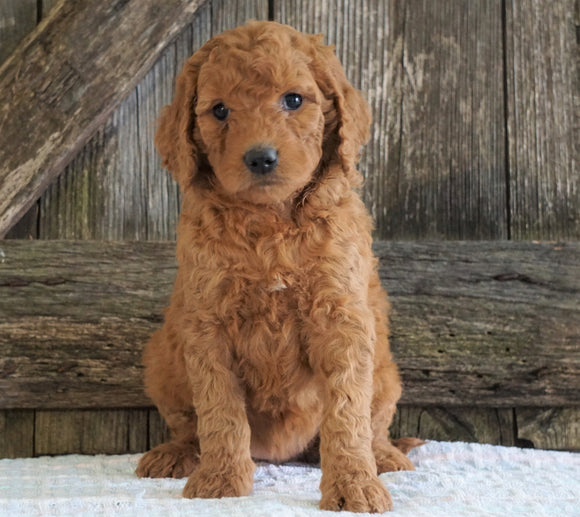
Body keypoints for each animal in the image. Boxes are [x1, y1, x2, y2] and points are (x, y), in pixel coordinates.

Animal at [139, 21, 424, 512]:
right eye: (219, 110)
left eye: (293, 100)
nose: (260, 157)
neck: (270, 221)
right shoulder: (207, 324)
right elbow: (219, 409)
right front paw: (220, 481)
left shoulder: (341, 318)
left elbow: (347, 413)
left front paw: (354, 485)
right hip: (162, 361)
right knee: (188, 425)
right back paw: (176, 454)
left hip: (387, 374)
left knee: (373, 423)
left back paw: (383, 457)